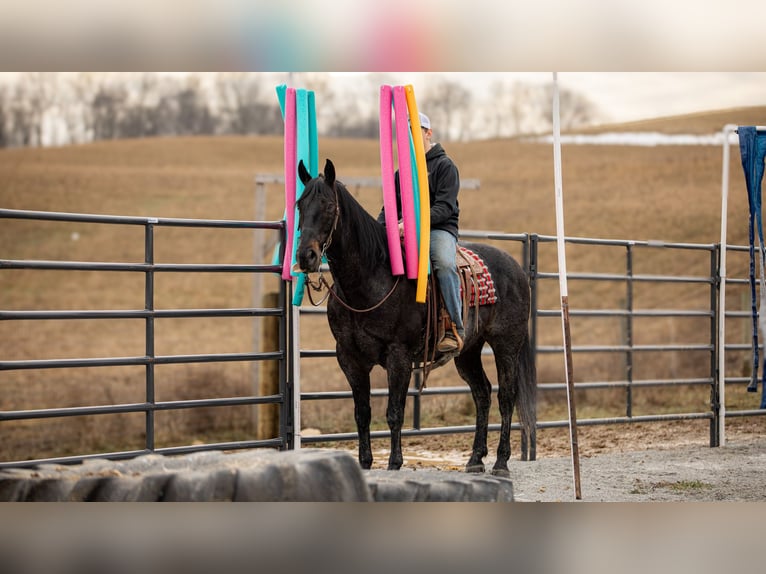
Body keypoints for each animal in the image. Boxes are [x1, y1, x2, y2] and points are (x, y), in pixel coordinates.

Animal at [296, 159, 536, 476]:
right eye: (299, 205)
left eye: (328, 205)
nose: (305, 256)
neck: (373, 277)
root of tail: (516, 268)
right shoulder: (349, 358)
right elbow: (362, 413)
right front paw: (365, 463)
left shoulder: (398, 356)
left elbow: (394, 412)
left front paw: (394, 463)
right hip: (468, 351)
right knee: (482, 393)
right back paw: (475, 460)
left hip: (506, 345)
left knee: (506, 396)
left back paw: (500, 462)